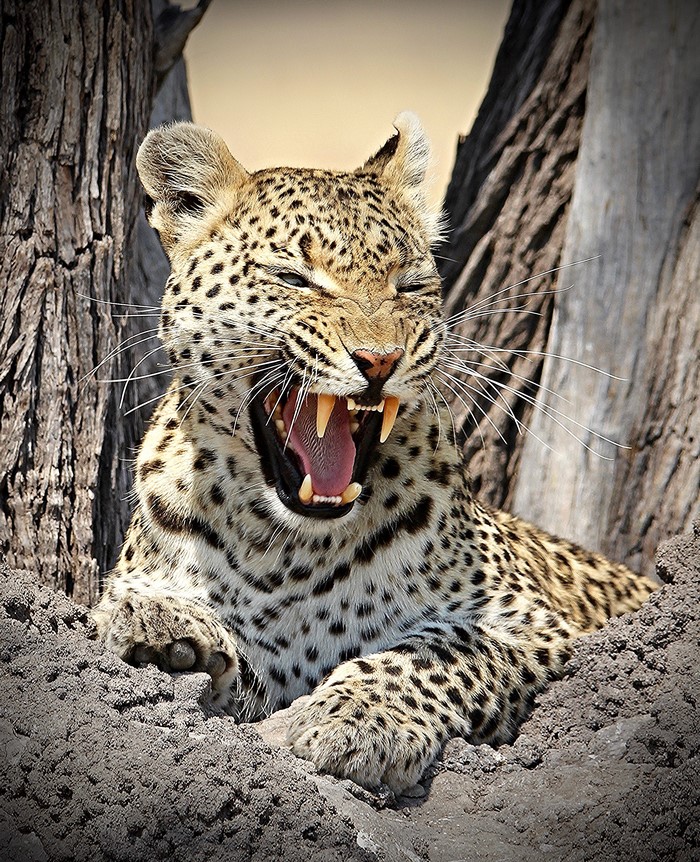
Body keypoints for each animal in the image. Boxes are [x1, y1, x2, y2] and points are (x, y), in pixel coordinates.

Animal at [93, 113, 657, 793]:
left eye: (409, 284)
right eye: (292, 278)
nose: (380, 359)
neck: (282, 550)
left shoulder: (531, 624)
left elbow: (436, 653)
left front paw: (350, 719)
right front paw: (161, 625)